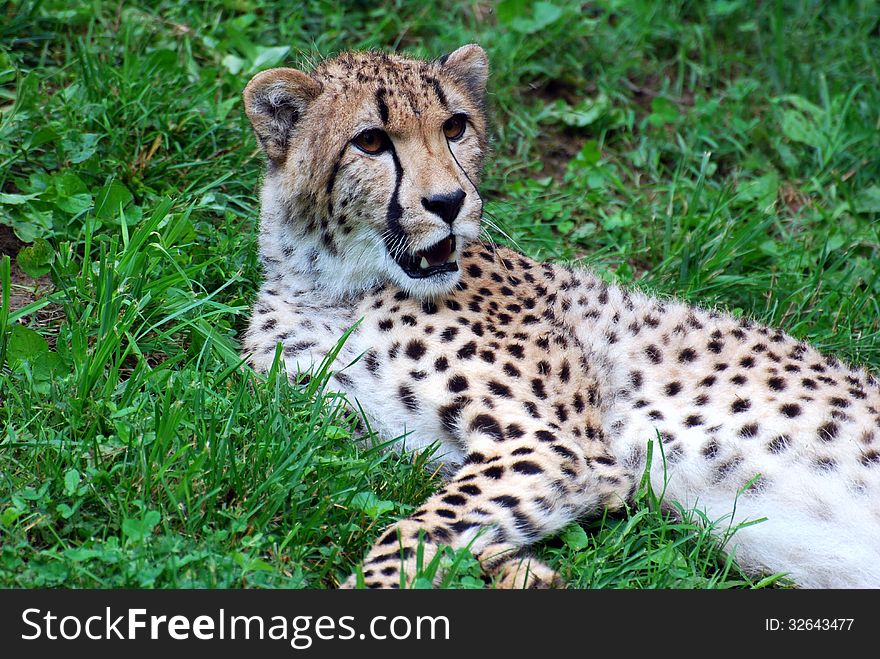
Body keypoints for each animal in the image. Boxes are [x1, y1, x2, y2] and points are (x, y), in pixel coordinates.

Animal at [239, 47, 880, 592]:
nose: (449, 203)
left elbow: (413, 531)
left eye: (455, 127)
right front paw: (526, 573)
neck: (332, 285)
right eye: (370, 141)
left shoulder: (557, 447)